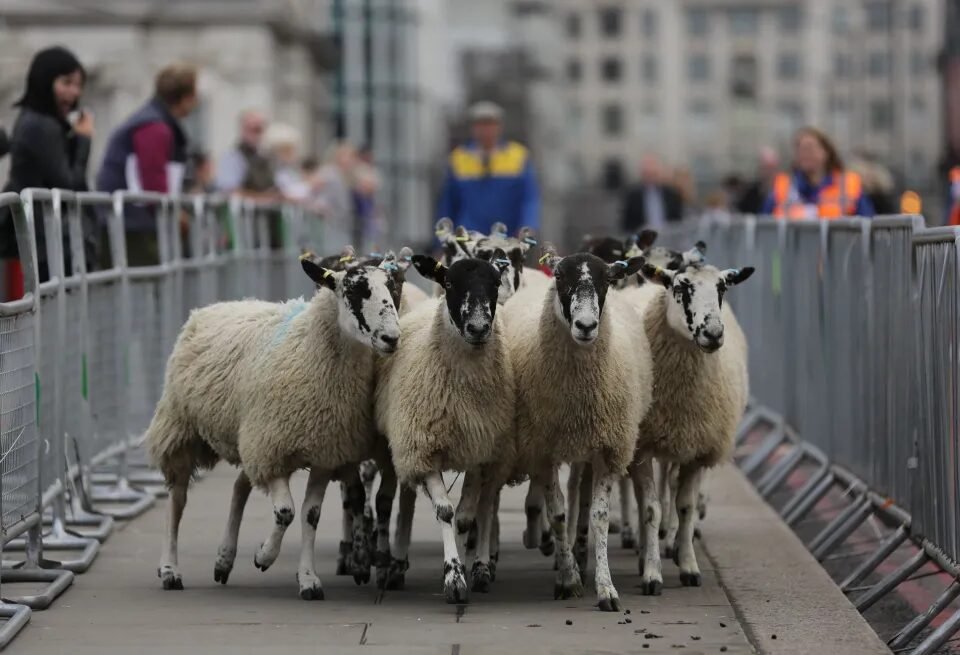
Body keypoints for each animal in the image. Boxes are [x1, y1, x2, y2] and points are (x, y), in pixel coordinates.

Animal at [147, 252, 405, 600]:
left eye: (393, 288)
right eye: (354, 291)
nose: (392, 338)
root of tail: (210, 307)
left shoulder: (324, 453)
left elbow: (310, 516)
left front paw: (308, 579)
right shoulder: (273, 452)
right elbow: (286, 512)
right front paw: (264, 556)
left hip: (248, 436)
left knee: (238, 487)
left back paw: (224, 559)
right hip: (183, 430)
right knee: (177, 500)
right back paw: (169, 570)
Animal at [374, 254, 514, 603]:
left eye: (495, 282)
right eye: (450, 282)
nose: (478, 328)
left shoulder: (481, 448)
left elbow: (466, 518)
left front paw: (467, 568)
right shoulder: (424, 450)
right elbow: (446, 513)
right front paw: (454, 578)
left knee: (487, 505)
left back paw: (482, 569)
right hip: (407, 447)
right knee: (407, 499)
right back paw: (397, 564)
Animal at [503, 245, 652, 611]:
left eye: (608, 279)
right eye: (559, 276)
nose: (586, 326)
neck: (578, 395)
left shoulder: (609, 449)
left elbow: (598, 516)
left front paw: (606, 588)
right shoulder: (542, 451)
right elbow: (557, 513)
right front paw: (568, 580)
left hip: (589, 447)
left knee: (581, 498)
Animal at [630, 255, 754, 589]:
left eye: (722, 287)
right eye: (681, 287)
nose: (712, 333)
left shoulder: (697, 447)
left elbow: (684, 506)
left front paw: (687, 564)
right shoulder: (641, 448)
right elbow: (649, 509)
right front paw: (651, 573)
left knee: (671, 486)